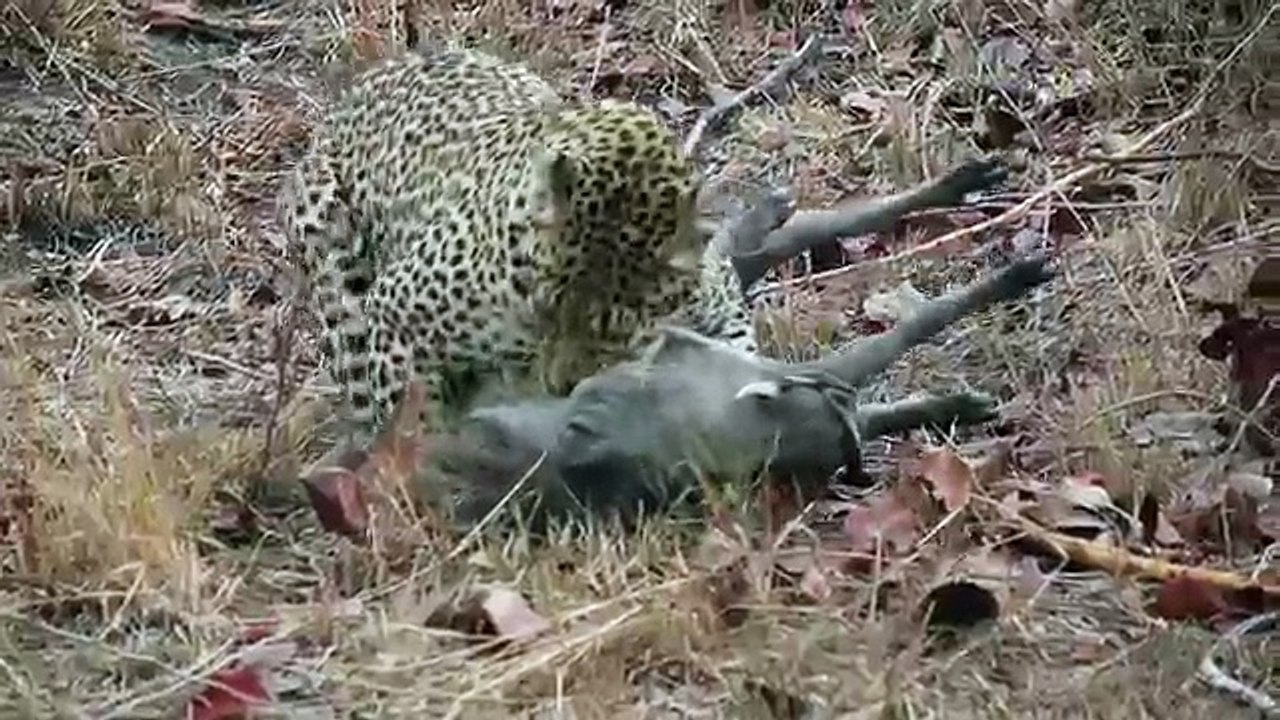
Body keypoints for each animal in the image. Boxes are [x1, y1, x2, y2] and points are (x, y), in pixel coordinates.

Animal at [282, 46, 756, 435]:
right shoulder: (396, 313)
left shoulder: (719, 301)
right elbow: (414, 427)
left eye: (613, 334)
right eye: (544, 311)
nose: (560, 387)